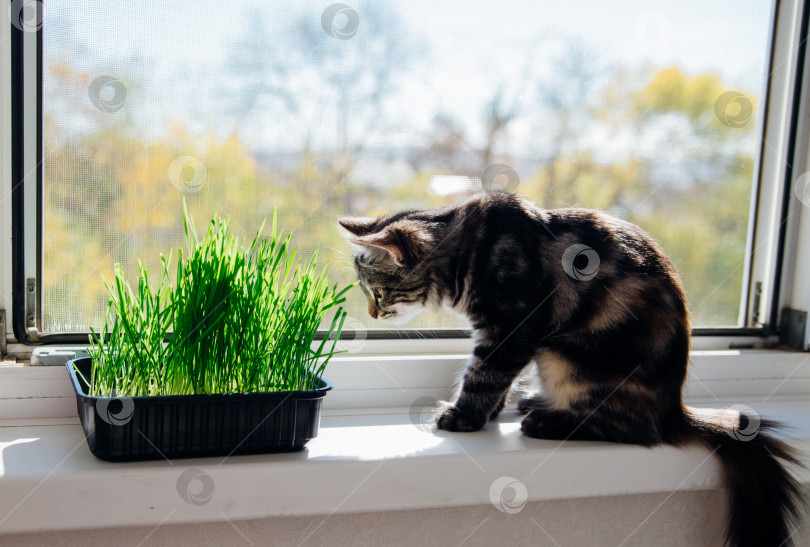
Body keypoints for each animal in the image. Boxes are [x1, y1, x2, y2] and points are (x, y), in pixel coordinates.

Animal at [340, 193, 800, 547]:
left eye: (377, 291)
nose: (372, 314)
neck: (471, 249)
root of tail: (675, 410)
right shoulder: (509, 335)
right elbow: (497, 379)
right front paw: (490, 413)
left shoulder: (512, 327)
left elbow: (484, 375)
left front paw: (463, 417)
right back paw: (535, 406)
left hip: (569, 357)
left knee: (634, 429)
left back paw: (547, 421)